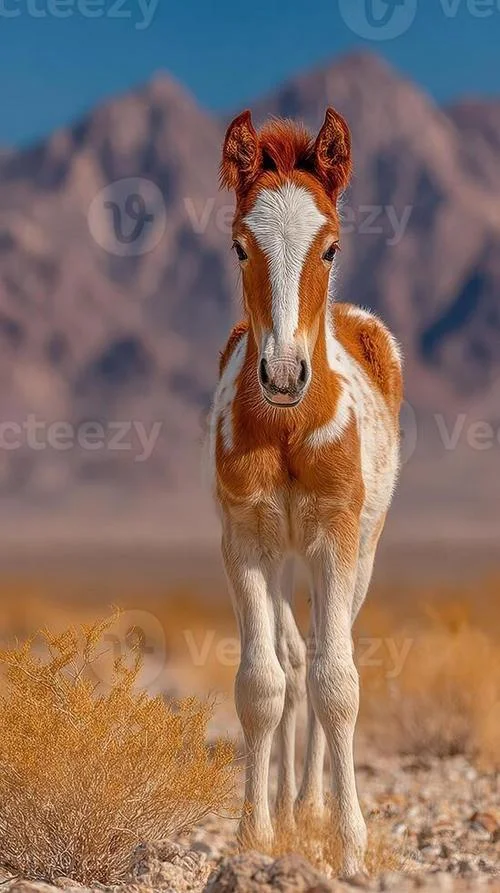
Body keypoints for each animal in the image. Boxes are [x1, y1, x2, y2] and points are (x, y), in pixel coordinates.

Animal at [208, 107, 402, 877]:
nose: (285, 375)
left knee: (322, 654)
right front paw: (255, 834)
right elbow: (262, 684)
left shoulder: (336, 539)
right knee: (293, 663)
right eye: (239, 246)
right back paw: (291, 808)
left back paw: (313, 808)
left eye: (330, 248)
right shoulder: (246, 543)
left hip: (358, 556)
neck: (290, 430)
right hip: (283, 560)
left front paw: (347, 842)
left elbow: (336, 683)